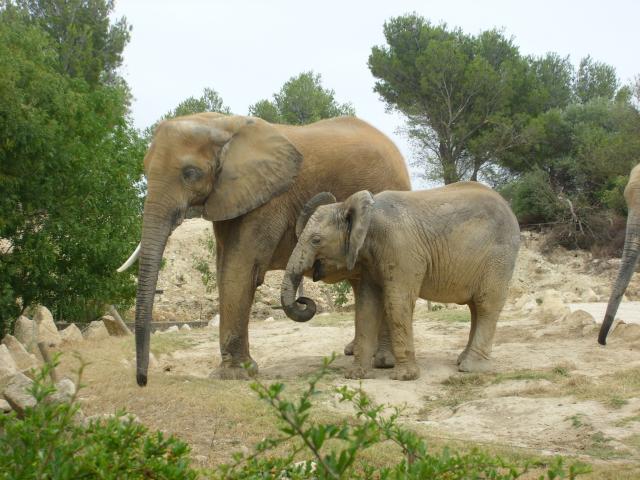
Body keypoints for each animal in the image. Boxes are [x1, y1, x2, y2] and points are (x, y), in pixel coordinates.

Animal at [119, 113, 410, 386]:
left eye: (190, 173)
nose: (142, 381)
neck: (224, 124)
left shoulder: (268, 200)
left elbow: (240, 268)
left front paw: (232, 375)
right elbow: (224, 268)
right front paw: (244, 369)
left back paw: (383, 362)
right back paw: (354, 351)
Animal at [284, 182, 520, 380]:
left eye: (316, 240)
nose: (304, 300)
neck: (364, 212)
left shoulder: (401, 249)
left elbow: (397, 302)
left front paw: (404, 377)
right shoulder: (371, 259)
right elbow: (367, 305)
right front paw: (355, 375)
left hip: (499, 257)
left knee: (486, 304)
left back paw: (471, 367)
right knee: (474, 307)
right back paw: (462, 360)